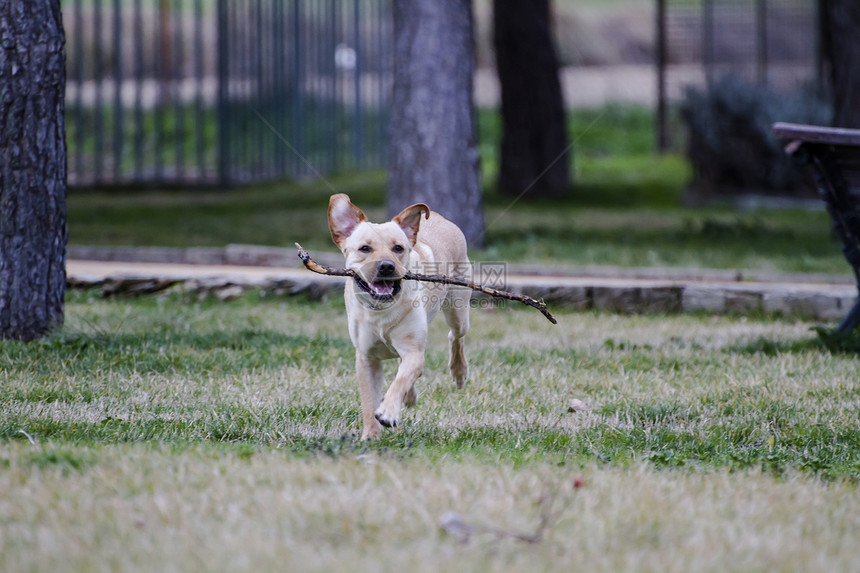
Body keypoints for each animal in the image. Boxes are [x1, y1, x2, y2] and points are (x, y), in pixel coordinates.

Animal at [326, 192, 470, 438]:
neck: (381, 310)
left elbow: (401, 380)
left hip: (458, 310)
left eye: (398, 248)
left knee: (455, 335)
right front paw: (370, 436)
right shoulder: (366, 359)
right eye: (365, 248)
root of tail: (440, 217)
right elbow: (369, 401)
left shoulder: (413, 350)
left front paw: (388, 412)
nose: (386, 266)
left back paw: (458, 372)